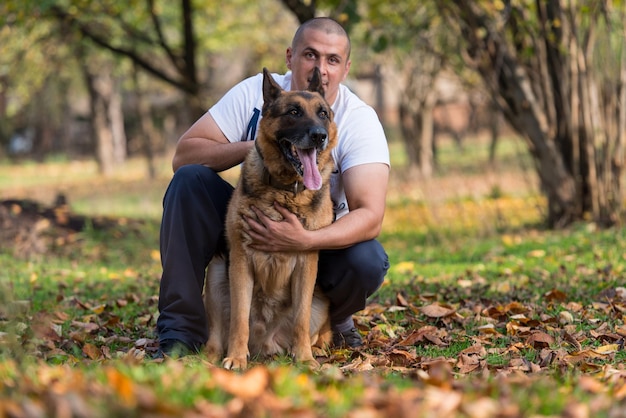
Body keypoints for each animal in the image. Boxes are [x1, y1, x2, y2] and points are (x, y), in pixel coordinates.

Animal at [205, 68, 334, 370]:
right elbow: (239, 319)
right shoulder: (241, 262)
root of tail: (265, 344)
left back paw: (314, 349)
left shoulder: (306, 265)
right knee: (218, 332)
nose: (319, 136)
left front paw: (305, 358)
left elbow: (300, 319)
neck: (285, 189)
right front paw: (236, 357)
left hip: (321, 303)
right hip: (215, 272)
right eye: (294, 112)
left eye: (323, 113)